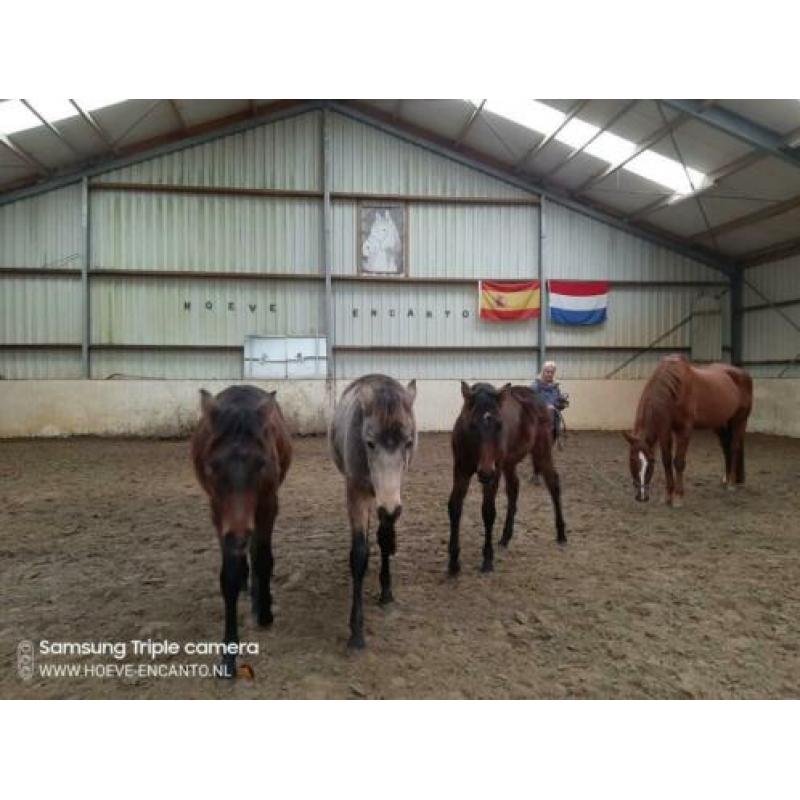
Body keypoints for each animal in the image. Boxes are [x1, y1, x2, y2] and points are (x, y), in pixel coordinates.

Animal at [191, 385, 292, 677]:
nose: (238, 536)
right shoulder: (218, 513)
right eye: (213, 465)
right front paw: (228, 655)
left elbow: (263, 559)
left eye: (261, 463)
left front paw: (265, 612)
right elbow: (230, 576)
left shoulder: (269, 504)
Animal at [329, 374, 417, 649]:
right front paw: (356, 631)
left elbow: (385, 539)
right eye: (370, 443)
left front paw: (386, 592)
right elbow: (358, 554)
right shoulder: (356, 491)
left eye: (408, 443)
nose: (390, 508)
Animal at [448, 382, 566, 575]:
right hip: (509, 463)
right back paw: (505, 537)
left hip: (541, 452)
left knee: (553, 483)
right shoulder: (461, 470)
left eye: (499, 424)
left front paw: (487, 559)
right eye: (472, 424)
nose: (485, 472)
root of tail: (543, 402)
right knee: (514, 489)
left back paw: (561, 534)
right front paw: (453, 562)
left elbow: (488, 512)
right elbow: (454, 507)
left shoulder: (494, 474)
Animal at [623, 355, 753, 506]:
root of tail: (743, 374)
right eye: (631, 459)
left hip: (740, 420)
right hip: (720, 423)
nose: (642, 497)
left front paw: (678, 496)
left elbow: (678, 462)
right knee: (726, 447)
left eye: (651, 461)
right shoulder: (665, 430)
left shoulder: (684, 430)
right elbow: (666, 461)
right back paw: (725, 480)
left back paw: (731, 483)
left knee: (734, 447)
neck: (674, 390)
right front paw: (668, 496)